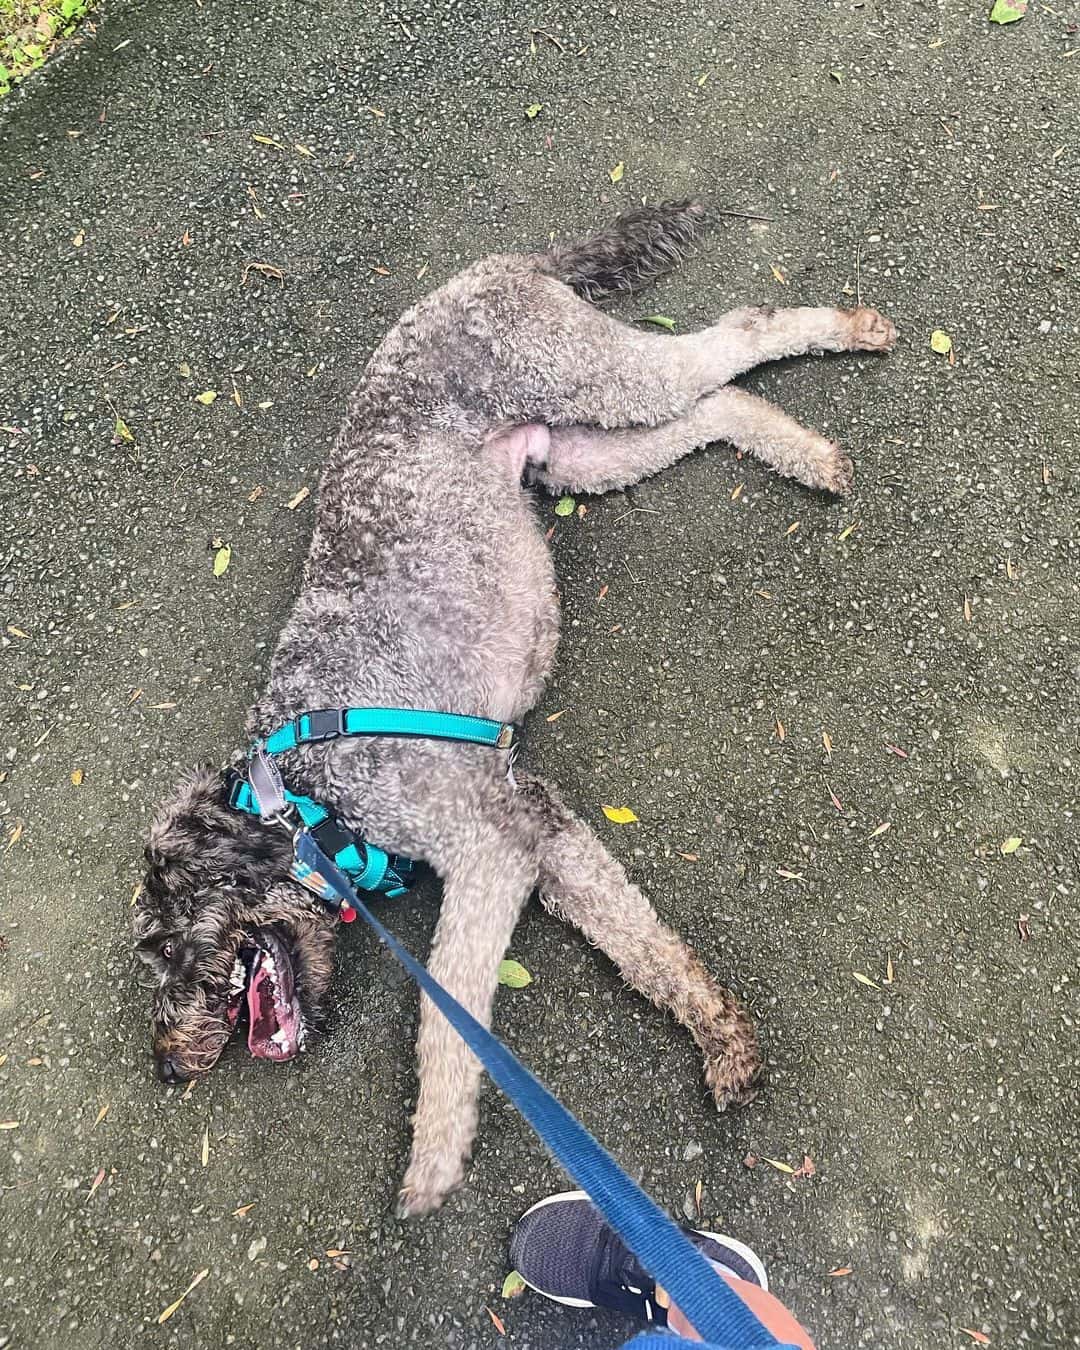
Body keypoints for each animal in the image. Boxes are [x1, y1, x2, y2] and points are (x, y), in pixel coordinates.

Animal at [132, 202, 896, 1225]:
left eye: (171, 946)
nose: (168, 1062)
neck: (305, 788)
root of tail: (497, 266)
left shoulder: (489, 843)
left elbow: (447, 1010)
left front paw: (434, 1156)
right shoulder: (538, 819)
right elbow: (639, 940)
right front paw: (717, 1031)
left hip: (592, 378)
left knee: (734, 335)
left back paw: (851, 329)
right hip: (579, 449)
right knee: (713, 407)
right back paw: (806, 454)